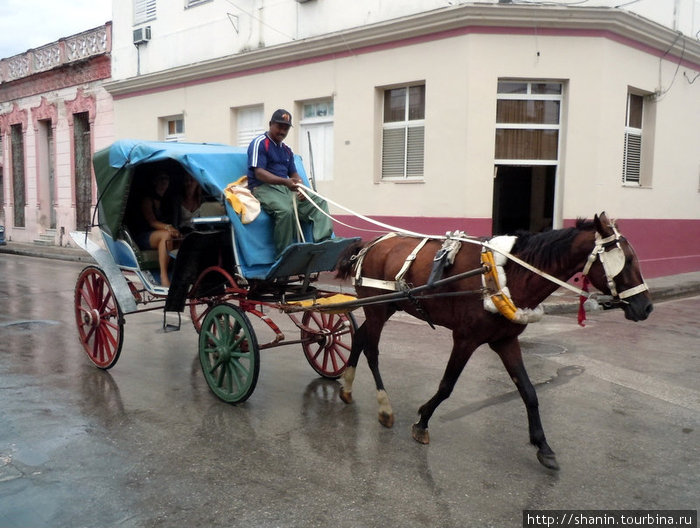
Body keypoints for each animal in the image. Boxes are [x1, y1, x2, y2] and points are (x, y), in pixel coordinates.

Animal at [336, 212, 652, 468]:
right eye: (627, 260)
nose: (646, 307)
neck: (505, 274)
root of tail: (371, 244)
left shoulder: (505, 341)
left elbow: (529, 391)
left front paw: (543, 445)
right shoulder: (465, 338)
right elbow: (447, 385)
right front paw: (423, 420)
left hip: (387, 306)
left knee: (359, 337)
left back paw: (347, 386)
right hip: (377, 308)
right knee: (372, 350)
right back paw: (384, 405)